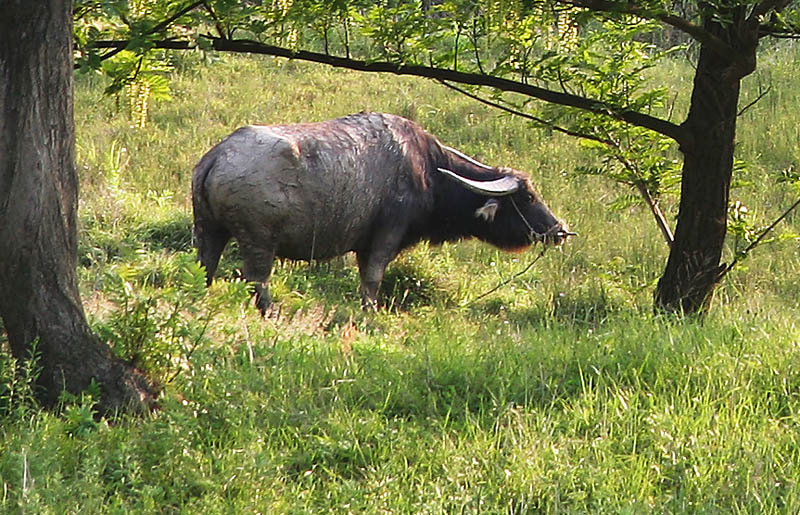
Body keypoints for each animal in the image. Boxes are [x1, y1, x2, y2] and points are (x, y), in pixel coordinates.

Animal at [191, 112, 572, 310]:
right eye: (527, 197)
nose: (560, 230)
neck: (428, 171)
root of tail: (217, 157)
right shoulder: (385, 236)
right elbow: (373, 279)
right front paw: (370, 312)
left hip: (208, 233)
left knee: (206, 269)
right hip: (258, 243)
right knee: (258, 280)